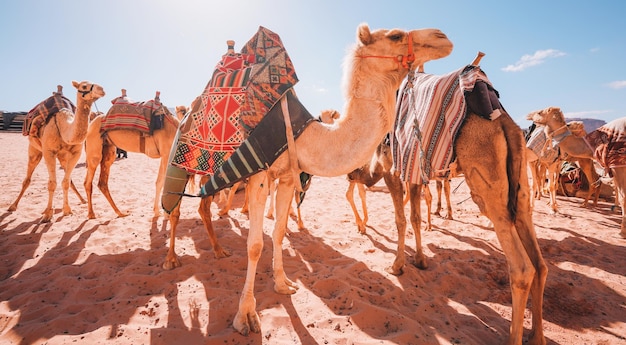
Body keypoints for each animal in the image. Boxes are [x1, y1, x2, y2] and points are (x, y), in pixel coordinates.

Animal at [7, 81, 105, 222]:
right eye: (84, 86)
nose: (101, 89)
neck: (64, 127)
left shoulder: (75, 153)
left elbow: (66, 182)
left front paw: (67, 210)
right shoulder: (49, 152)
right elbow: (52, 183)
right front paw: (48, 214)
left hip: (63, 156)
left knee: (68, 180)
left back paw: (82, 200)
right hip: (34, 150)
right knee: (27, 179)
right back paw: (13, 206)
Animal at [82, 89, 178, 218]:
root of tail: (90, 124)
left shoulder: (165, 155)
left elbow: (159, 182)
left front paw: (157, 212)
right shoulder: (167, 154)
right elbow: (164, 182)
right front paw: (166, 215)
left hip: (108, 149)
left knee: (102, 182)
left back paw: (120, 212)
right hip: (94, 152)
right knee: (88, 181)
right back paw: (91, 214)